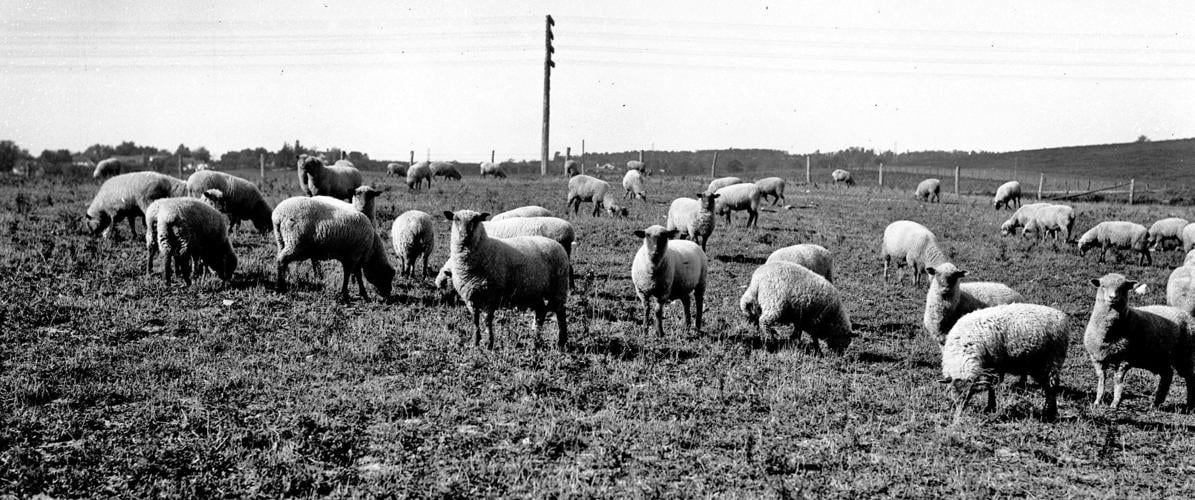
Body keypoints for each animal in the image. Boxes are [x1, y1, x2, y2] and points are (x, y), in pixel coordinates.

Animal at [443, 210, 570, 349]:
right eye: (456, 219)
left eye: (475, 220)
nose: (464, 235)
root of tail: (558, 246)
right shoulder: (470, 297)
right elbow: (475, 320)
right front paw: (475, 342)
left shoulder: (492, 295)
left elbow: (487, 320)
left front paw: (489, 344)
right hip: (535, 291)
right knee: (541, 312)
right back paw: (536, 341)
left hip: (559, 287)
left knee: (561, 313)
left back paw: (561, 341)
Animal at [940, 303, 1069, 423]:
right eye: (952, 391)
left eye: (969, 394)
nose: (959, 413)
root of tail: (1061, 316)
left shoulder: (994, 365)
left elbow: (991, 387)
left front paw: (990, 407)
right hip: (1037, 365)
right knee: (1047, 386)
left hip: (1052, 359)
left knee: (1052, 387)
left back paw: (1049, 413)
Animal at [1085, 273, 1195, 410]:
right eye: (1103, 286)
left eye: (1123, 288)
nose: (1113, 297)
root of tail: (1187, 315)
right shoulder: (1097, 358)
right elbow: (1101, 379)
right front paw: (1097, 401)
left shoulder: (1124, 359)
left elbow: (1118, 380)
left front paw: (1115, 403)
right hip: (1158, 358)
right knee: (1167, 374)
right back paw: (1156, 403)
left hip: (1184, 355)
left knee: (1190, 378)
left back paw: (1189, 404)